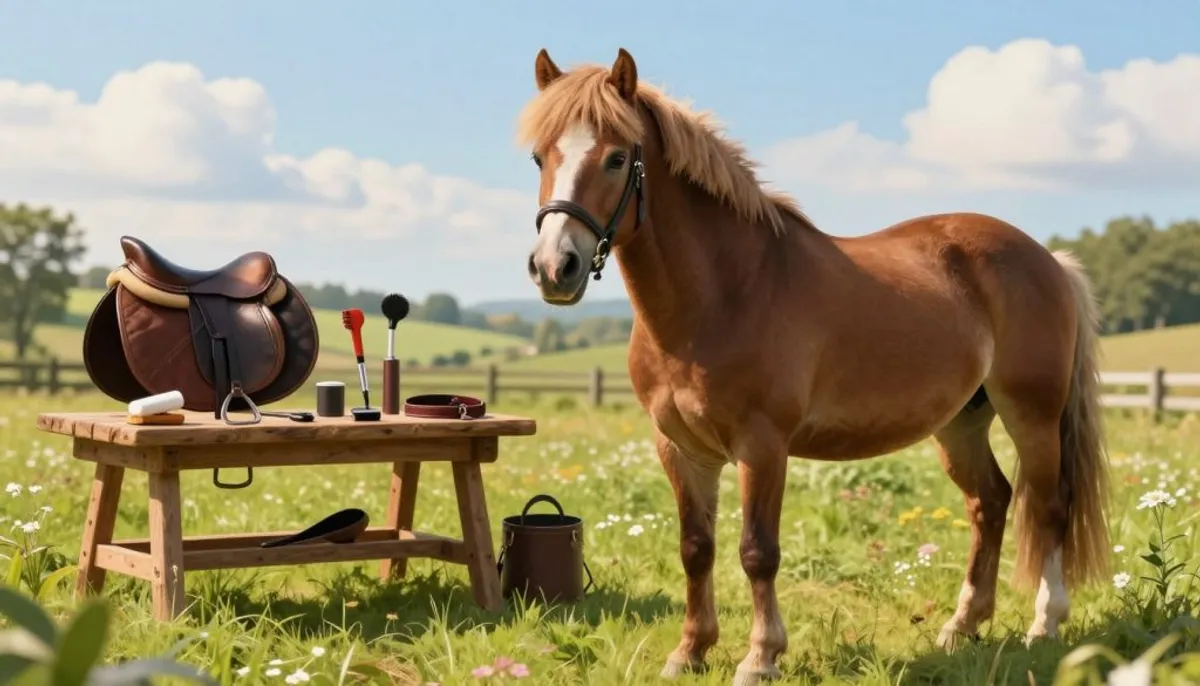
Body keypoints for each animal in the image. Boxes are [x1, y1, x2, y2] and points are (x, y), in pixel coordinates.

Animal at [517, 48, 1110, 685]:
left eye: (616, 157)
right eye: (539, 156)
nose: (554, 267)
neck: (726, 293)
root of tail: (1049, 259)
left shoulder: (762, 446)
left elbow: (757, 552)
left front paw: (760, 657)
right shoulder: (680, 448)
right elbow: (696, 547)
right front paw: (691, 651)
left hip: (1032, 414)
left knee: (1048, 506)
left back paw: (1045, 624)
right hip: (961, 422)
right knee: (990, 502)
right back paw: (962, 626)